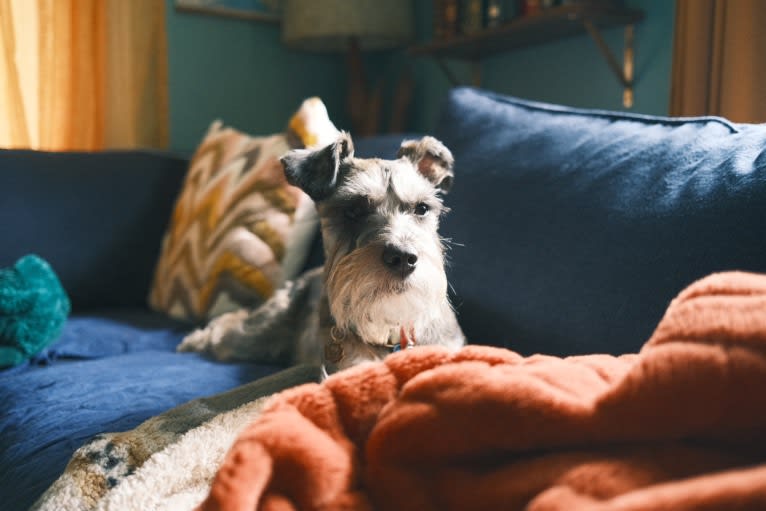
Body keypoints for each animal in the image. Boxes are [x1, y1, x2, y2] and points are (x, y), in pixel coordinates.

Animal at [178, 134, 468, 378]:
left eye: (422, 208)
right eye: (353, 210)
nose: (403, 258)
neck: (391, 332)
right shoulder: (349, 367)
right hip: (255, 333)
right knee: (227, 327)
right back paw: (194, 339)